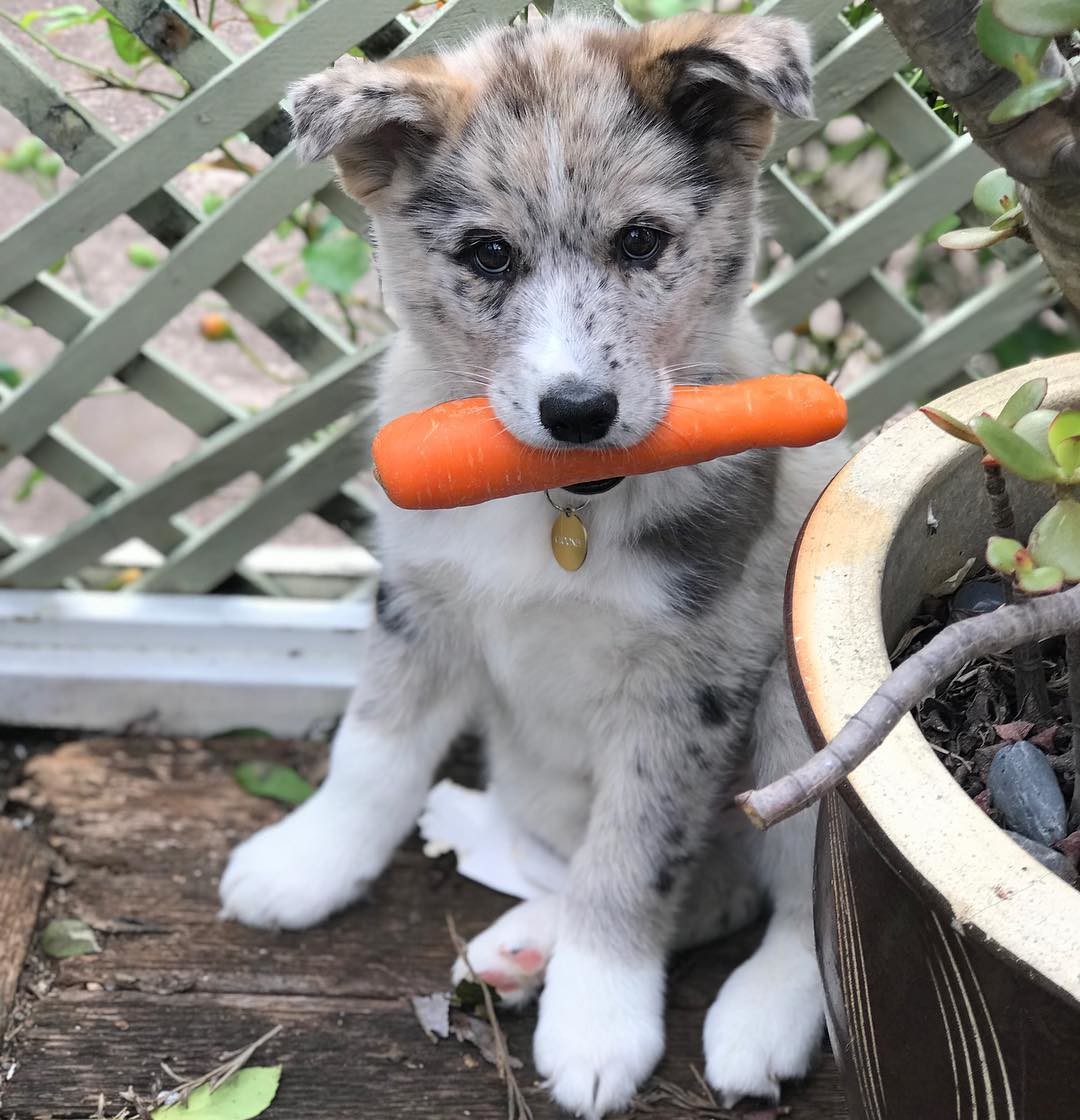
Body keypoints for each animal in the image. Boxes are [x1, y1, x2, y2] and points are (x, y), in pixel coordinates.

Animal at [221, 13, 842, 1115]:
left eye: (641, 241)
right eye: (488, 254)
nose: (578, 412)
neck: (559, 508)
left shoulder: (689, 681)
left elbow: (636, 853)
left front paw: (599, 1020)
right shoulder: (419, 600)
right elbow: (373, 752)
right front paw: (309, 861)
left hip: (788, 711)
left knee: (801, 903)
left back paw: (759, 1018)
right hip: (542, 773)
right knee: (702, 887)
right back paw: (519, 950)